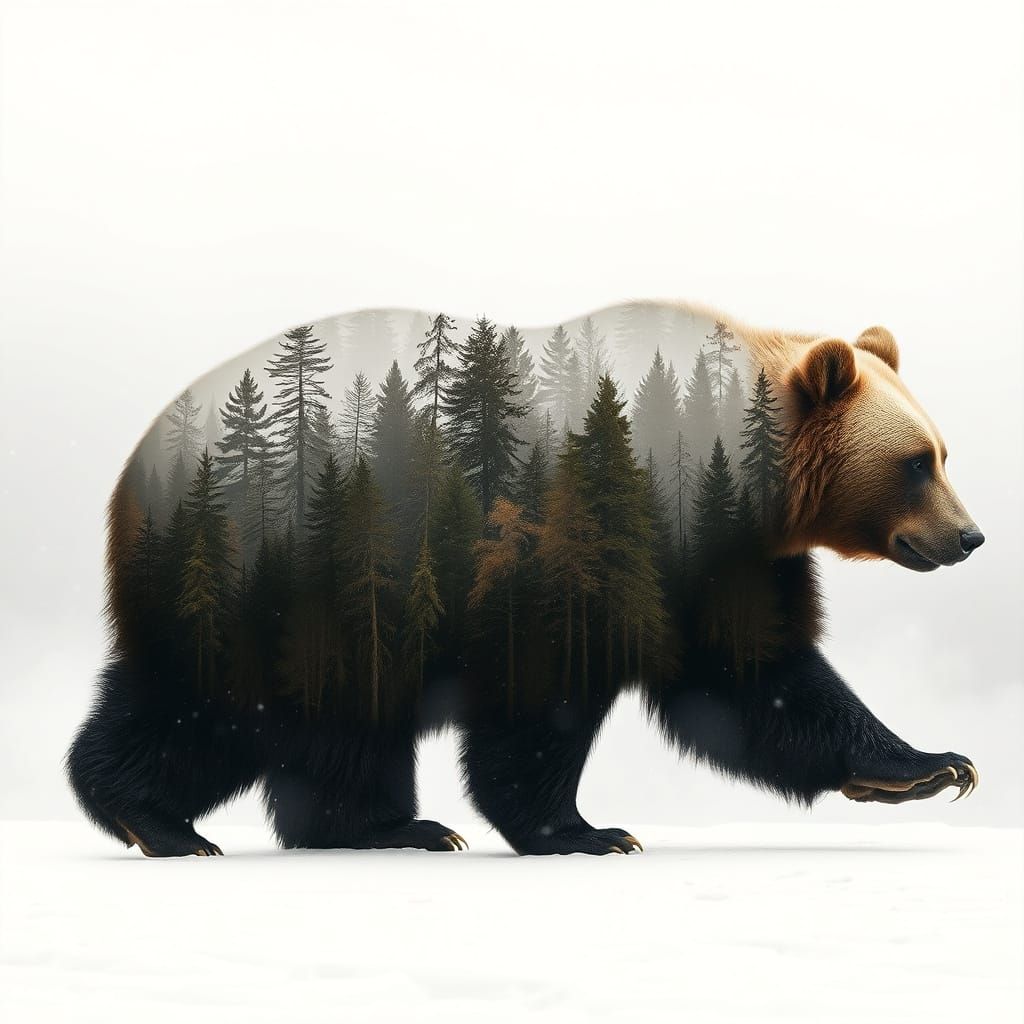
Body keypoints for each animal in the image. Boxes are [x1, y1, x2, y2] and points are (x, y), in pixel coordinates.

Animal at [65, 302, 984, 856]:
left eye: (942, 453)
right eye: (915, 463)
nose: (969, 536)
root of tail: (130, 471)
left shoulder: (724, 559)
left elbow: (757, 677)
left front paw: (927, 766)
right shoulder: (576, 528)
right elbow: (542, 686)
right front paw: (584, 830)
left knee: (340, 721)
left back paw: (391, 827)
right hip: (261, 558)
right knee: (208, 700)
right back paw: (153, 817)